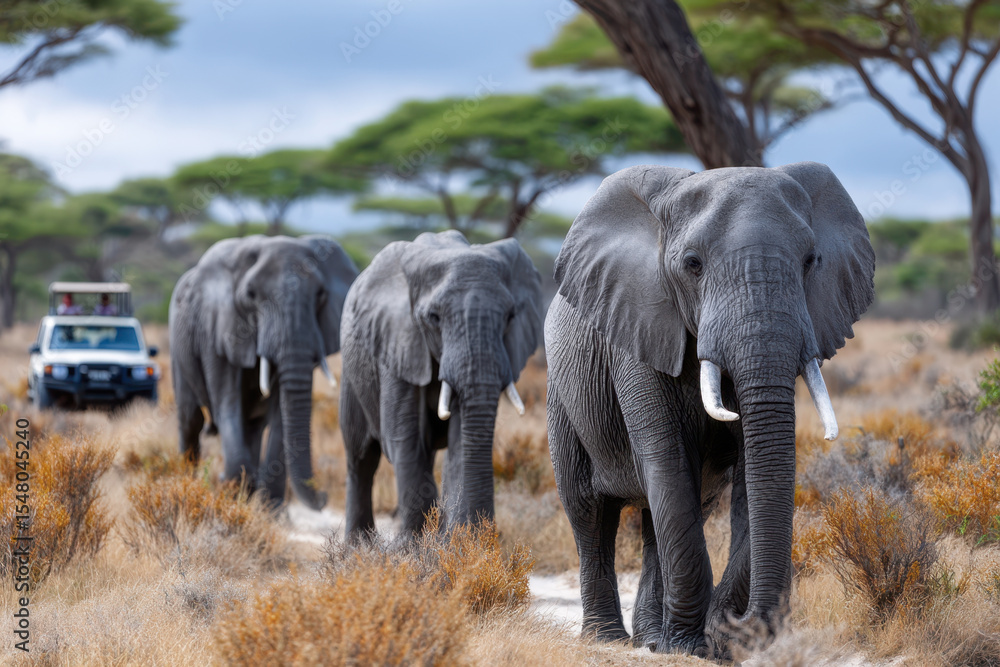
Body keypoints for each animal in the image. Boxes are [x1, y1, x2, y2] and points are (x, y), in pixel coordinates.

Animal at [169, 234, 358, 509]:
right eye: (251, 294)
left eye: (321, 294)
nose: (324, 497)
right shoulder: (216, 329)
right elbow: (227, 402)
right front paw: (232, 490)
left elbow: (280, 411)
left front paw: (269, 512)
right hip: (178, 345)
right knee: (190, 418)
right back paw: (188, 485)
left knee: (253, 427)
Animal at [339, 230, 543, 540]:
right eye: (433, 318)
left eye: (510, 317)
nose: (488, 534)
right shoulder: (398, 343)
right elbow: (404, 437)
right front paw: (413, 547)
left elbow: (461, 440)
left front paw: (457, 544)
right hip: (351, 371)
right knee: (360, 457)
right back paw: (358, 546)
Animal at [545, 163, 874, 656]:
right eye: (692, 265)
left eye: (810, 261)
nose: (748, 625)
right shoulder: (639, 328)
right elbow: (666, 459)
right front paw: (689, 647)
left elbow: (751, 467)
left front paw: (710, 642)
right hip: (561, 398)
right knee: (590, 513)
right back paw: (610, 638)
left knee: (656, 518)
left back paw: (651, 639)